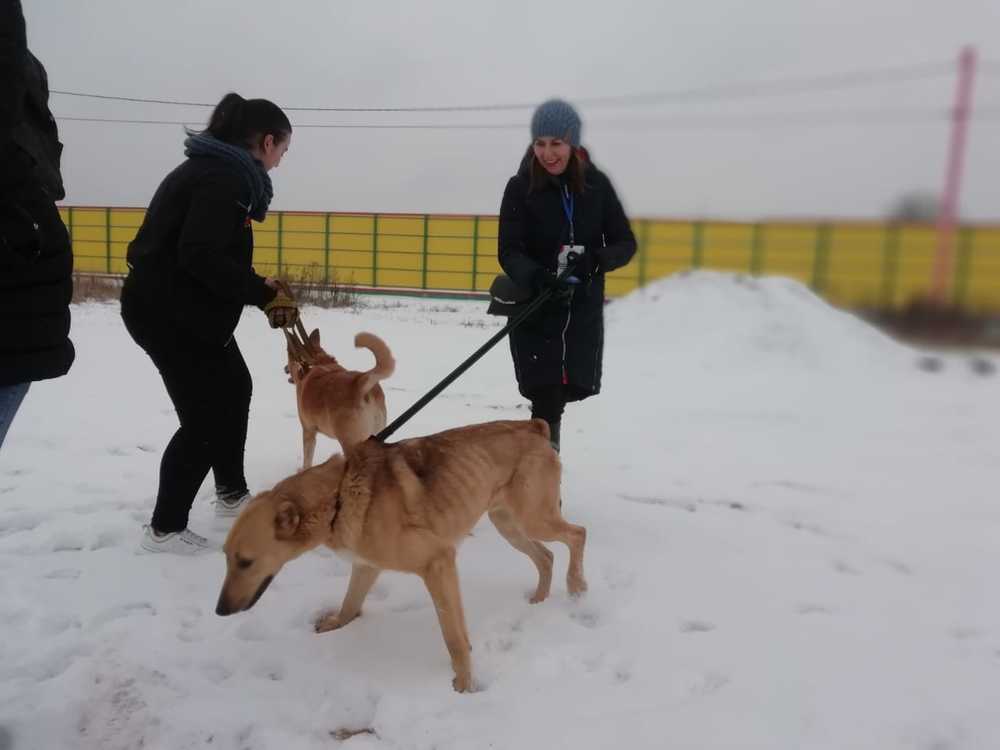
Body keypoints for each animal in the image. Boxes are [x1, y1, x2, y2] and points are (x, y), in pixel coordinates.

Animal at [215, 418, 584, 692]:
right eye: (226, 557)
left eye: (245, 561)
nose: (220, 611)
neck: (338, 496)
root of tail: (534, 427)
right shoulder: (366, 566)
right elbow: (350, 603)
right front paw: (338, 622)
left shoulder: (439, 563)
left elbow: (454, 637)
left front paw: (464, 683)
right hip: (509, 524)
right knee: (546, 557)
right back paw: (539, 599)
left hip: (533, 519)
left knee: (577, 534)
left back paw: (577, 586)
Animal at [286, 332, 394, 468]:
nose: (285, 368)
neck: (314, 364)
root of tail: (360, 382)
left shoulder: (308, 431)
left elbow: (307, 460)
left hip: (350, 443)